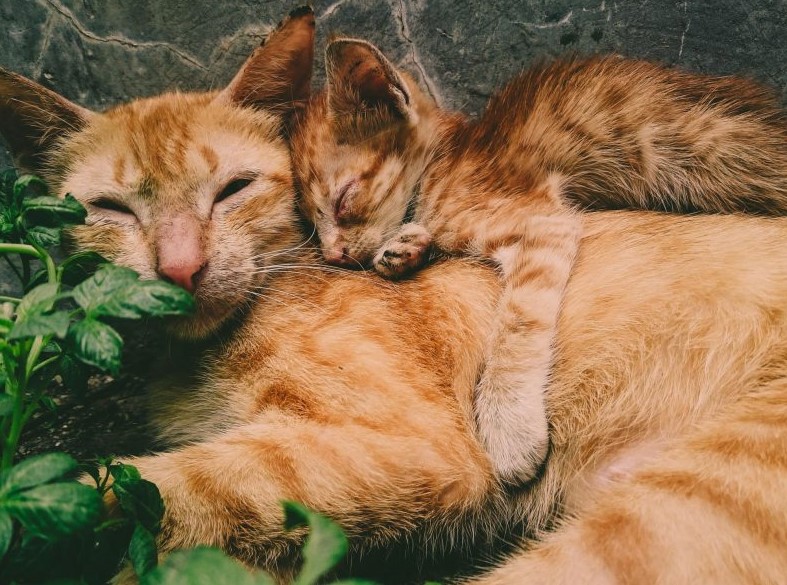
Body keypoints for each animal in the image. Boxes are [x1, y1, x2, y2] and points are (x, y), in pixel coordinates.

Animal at [292, 38, 787, 482]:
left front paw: (508, 428)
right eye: (312, 221)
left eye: (344, 198)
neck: (440, 163)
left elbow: (514, 327)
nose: (333, 253)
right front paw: (405, 246)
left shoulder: (541, 223)